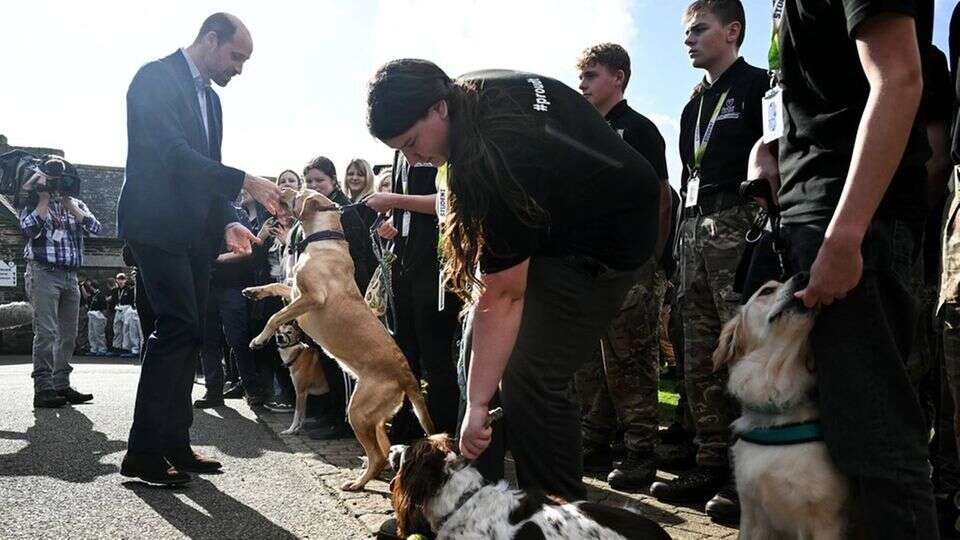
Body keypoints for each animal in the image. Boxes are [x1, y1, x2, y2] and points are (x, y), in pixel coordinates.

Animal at [242, 188, 436, 492]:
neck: (323, 241)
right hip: (374, 418)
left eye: (297, 192)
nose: (281, 189)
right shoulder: (295, 292)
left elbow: (274, 316)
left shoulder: (310, 298)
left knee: (378, 455)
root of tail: (408, 376)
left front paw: (258, 339)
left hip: (357, 411)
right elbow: (275, 286)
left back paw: (357, 483)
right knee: (382, 450)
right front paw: (253, 291)